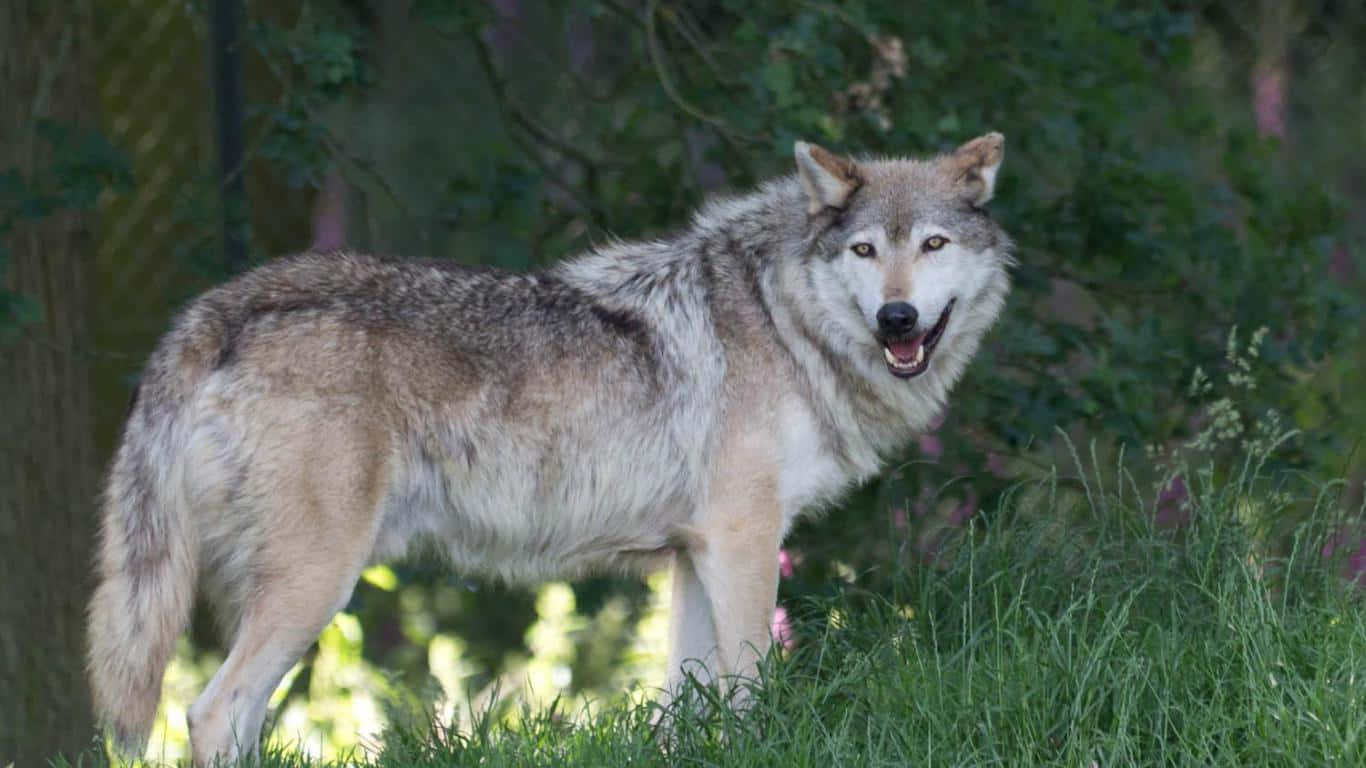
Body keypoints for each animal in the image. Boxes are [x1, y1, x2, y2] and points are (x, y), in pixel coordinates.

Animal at [82, 133, 1005, 759]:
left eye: (932, 245)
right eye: (865, 250)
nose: (897, 319)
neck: (782, 319)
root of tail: (216, 312)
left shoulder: (695, 554)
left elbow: (689, 707)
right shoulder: (744, 544)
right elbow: (747, 692)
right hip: (315, 586)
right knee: (211, 711)